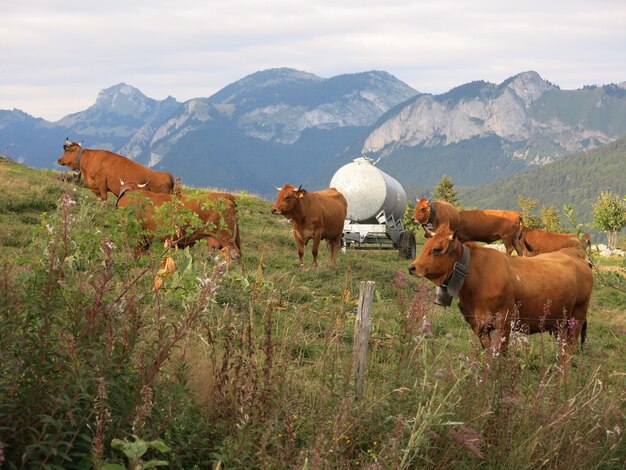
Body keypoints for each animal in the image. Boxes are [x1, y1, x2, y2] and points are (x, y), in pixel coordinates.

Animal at [408, 225, 592, 364]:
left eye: (437, 249)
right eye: (426, 245)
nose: (412, 267)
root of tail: (576, 254)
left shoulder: (504, 322)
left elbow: (500, 355)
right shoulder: (479, 325)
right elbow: (489, 355)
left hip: (577, 317)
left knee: (569, 351)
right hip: (560, 324)